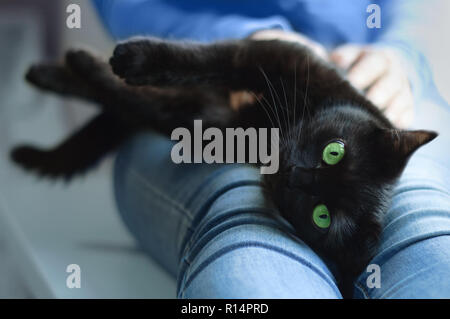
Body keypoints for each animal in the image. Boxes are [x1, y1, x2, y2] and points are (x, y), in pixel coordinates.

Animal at [10, 38, 438, 298]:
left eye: (322, 217)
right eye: (334, 151)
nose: (295, 174)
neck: (270, 128)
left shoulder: (207, 121)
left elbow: (136, 99)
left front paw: (84, 67)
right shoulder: (273, 55)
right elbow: (206, 59)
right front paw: (125, 58)